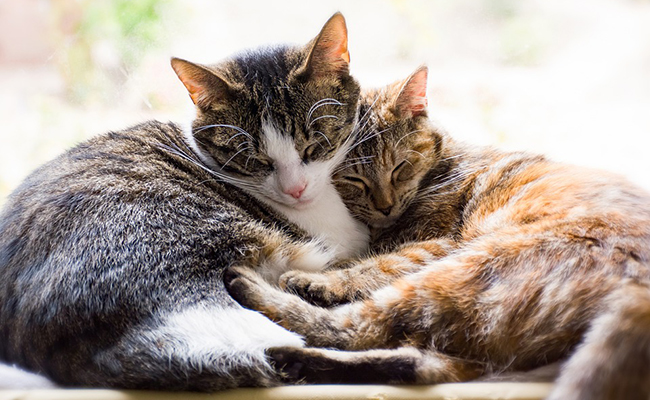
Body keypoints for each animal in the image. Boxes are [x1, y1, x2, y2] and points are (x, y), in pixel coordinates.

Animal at [225, 64, 648, 398]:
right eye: (355, 180)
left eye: (399, 168)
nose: (385, 206)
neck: (440, 167)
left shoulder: (436, 243)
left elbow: (372, 266)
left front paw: (328, 278)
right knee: (416, 361)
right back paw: (294, 360)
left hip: (464, 270)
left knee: (355, 328)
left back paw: (261, 292)